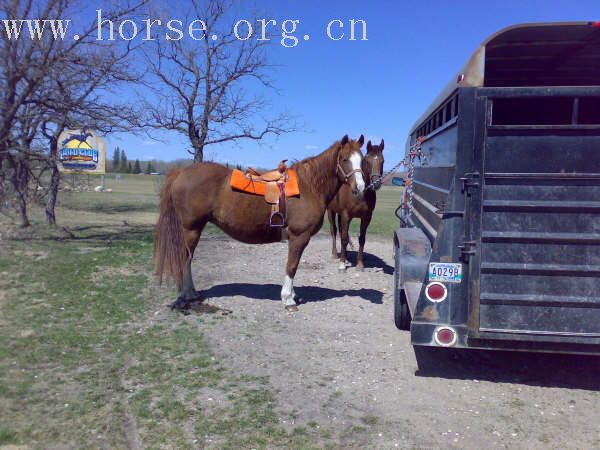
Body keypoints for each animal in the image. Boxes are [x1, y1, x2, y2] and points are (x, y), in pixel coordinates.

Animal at [154, 134, 366, 312]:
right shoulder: (298, 237)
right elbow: (292, 266)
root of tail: (181, 172)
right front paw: (288, 299)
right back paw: (188, 294)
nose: (361, 188)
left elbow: (293, 266)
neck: (309, 186)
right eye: (344, 159)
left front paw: (292, 295)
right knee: (185, 259)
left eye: (362, 160)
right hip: (192, 229)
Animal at [328, 139, 384, 268]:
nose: (376, 183)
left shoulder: (366, 217)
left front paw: (360, 263)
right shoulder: (346, 215)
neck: (361, 194)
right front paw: (342, 263)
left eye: (382, 161)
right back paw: (335, 254)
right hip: (331, 211)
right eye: (366, 161)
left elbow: (361, 238)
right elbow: (344, 238)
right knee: (334, 230)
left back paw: (347, 256)